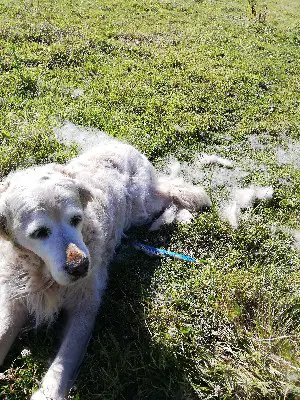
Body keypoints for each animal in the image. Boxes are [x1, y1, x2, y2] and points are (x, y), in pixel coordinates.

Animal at [0, 138, 211, 400]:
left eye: (76, 219)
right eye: (39, 233)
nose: (81, 267)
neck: (42, 274)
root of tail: (124, 144)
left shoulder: (85, 308)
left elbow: (64, 360)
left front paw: (48, 392)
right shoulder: (15, 301)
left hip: (143, 206)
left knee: (170, 192)